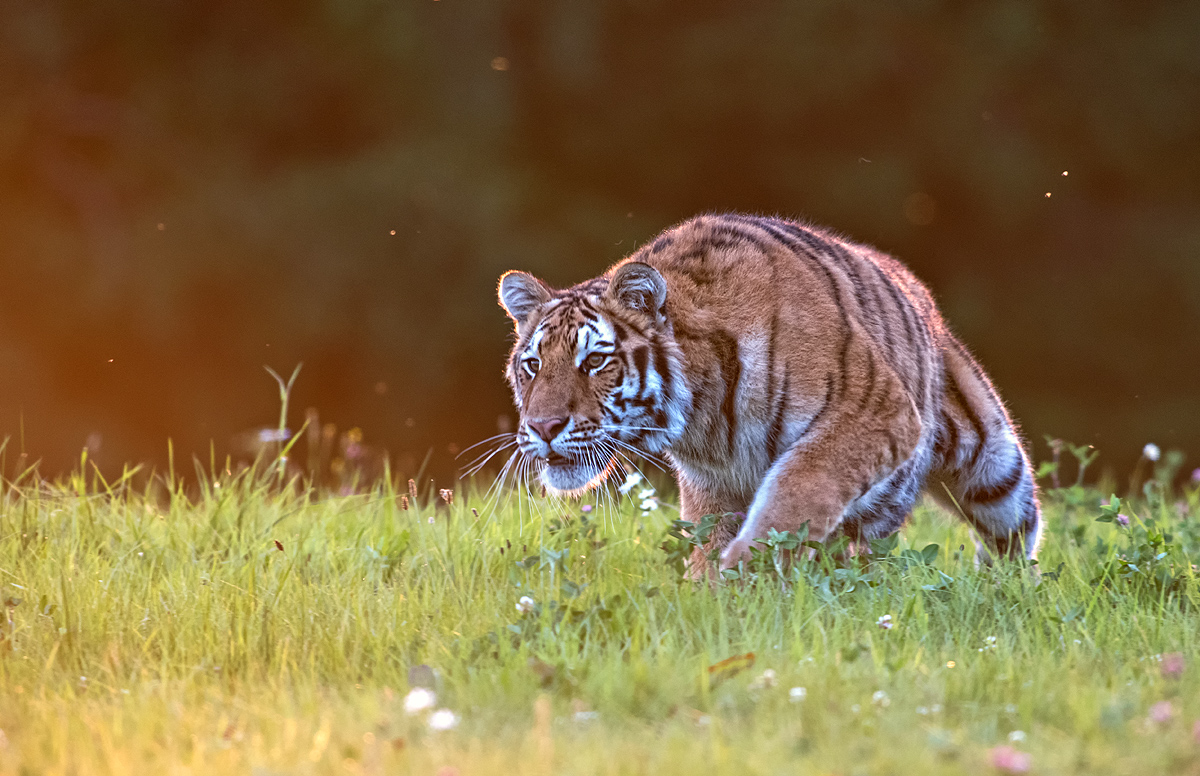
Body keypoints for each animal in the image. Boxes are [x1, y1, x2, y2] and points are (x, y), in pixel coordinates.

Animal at [496, 213, 1041, 575]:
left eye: (594, 362)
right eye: (532, 366)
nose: (544, 428)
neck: (703, 415)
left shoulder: (872, 412)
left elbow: (796, 492)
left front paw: (744, 571)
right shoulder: (712, 480)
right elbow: (708, 537)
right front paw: (712, 594)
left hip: (994, 465)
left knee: (1017, 532)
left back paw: (1004, 592)